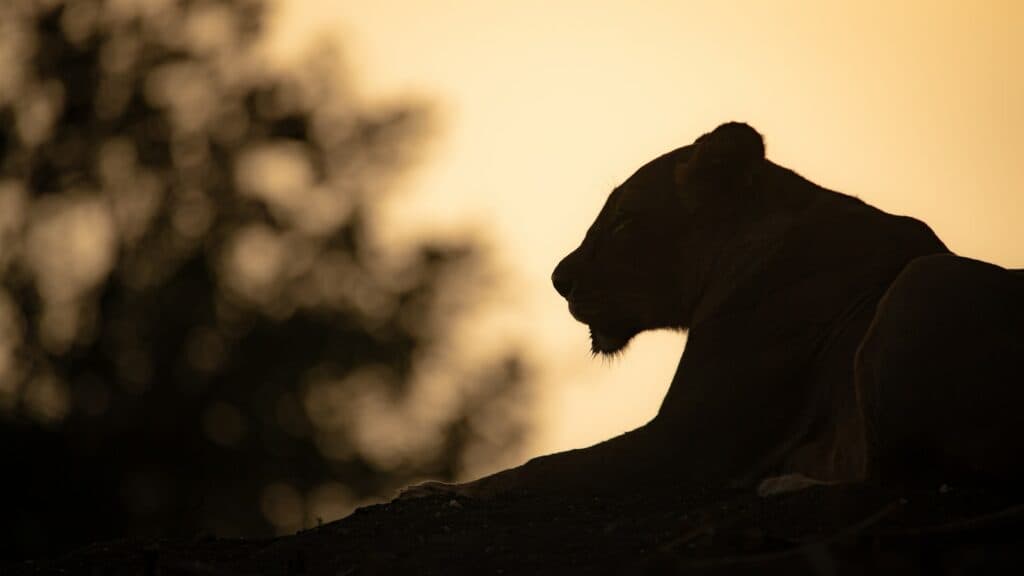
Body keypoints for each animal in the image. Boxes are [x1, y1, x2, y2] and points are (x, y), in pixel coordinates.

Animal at [401, 121, 1020, 501]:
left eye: (623, 220)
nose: (558, 280)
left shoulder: (687, 443)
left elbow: (546, 466)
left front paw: (435, 489)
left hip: (925, 280)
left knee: (895, 474)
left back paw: (788, 483)